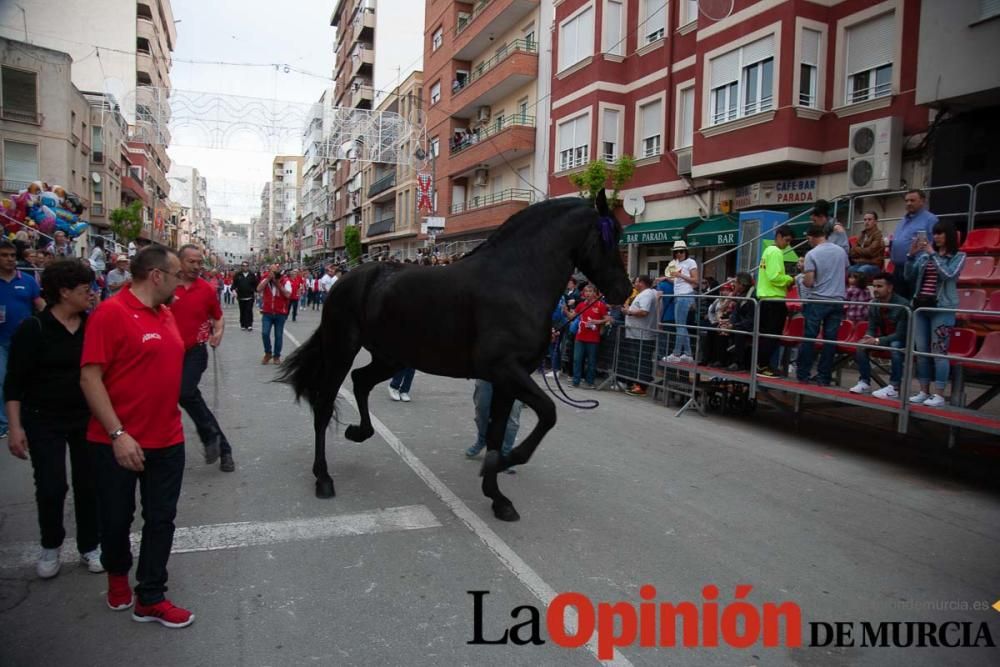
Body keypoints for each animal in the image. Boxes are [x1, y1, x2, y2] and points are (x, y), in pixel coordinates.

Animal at [278, 190, 628, 520]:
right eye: (611, 237)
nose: (623, 291)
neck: (516, 281)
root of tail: (345, 279)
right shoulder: (506, 371)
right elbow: (548, 412)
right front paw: (508, 460)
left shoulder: (507, 381)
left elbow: (497, 433)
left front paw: (498, 497)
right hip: (341, 349)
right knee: (325, 405)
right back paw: (323, 478)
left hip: (392, 357)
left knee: (361, 381)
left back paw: (358, 432)